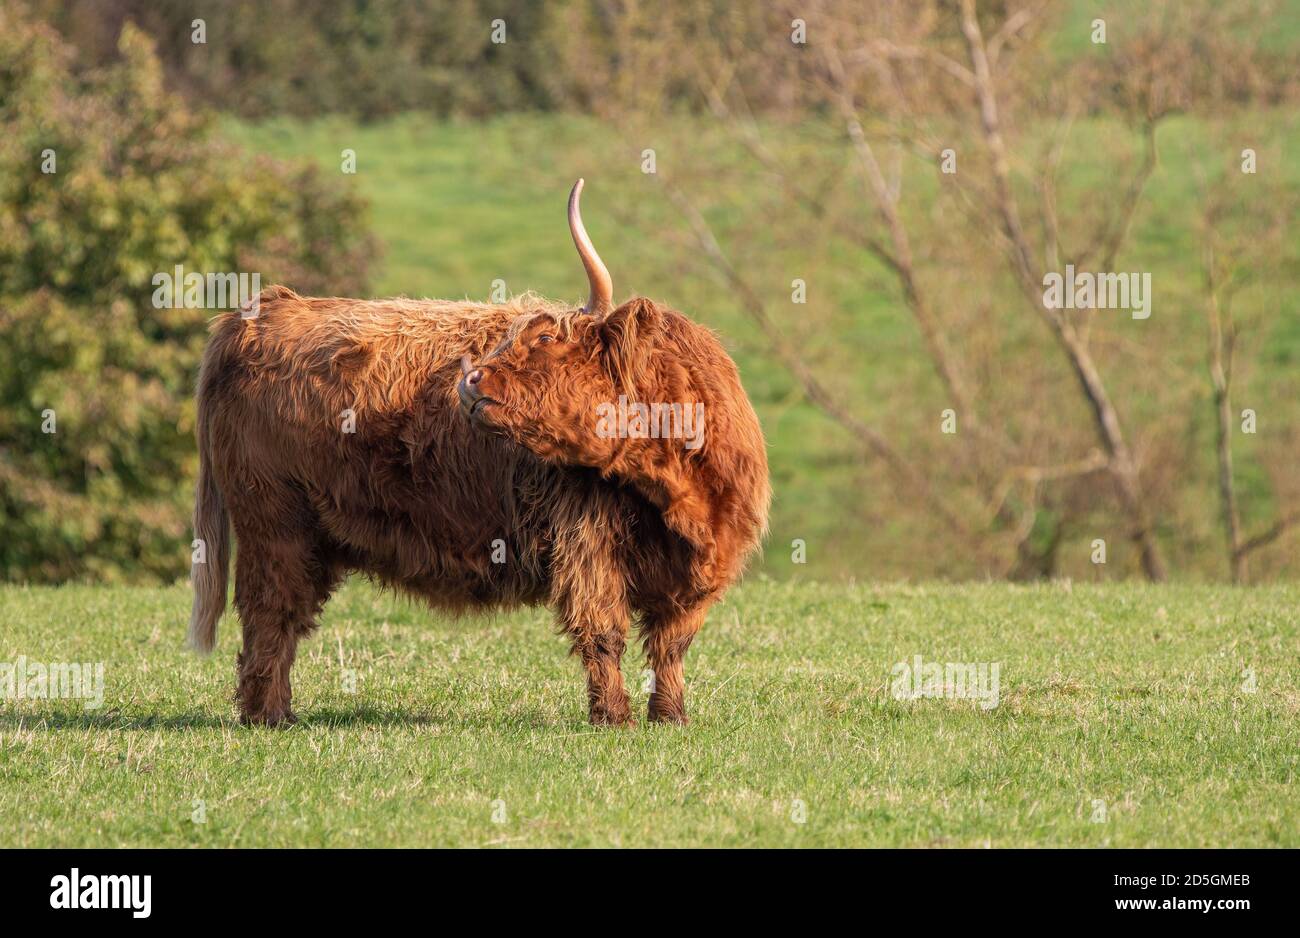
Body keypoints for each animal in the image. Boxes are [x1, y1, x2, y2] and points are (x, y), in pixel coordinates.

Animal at [188, 180, 770, 727]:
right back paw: (268, 715)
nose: (469, 381)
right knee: (272, 614)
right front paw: (614, 718)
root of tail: (261, 310)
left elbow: (671, 644)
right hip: (274, 521)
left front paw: (671, 716)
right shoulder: (587, 545)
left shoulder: (704, 567)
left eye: (544, 342)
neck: (682, 493)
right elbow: (603, 632)